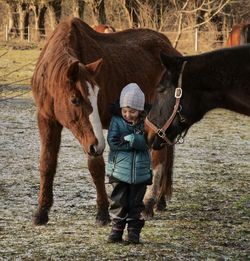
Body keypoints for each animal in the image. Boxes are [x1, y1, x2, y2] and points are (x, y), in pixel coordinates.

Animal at [31, 16, 180, 224]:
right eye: (75, 99)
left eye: (96, 97)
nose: (96, 145)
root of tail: (168, 47)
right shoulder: (47, 120)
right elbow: (47, 163)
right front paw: (41, 212)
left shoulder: (92, 137)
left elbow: (96, 167)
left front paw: (102, 212)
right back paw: (159, 202)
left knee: (159, 160)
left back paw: (149, 203)